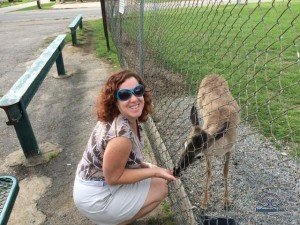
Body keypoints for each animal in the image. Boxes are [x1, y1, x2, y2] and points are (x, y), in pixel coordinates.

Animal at [172, 74, 240, 209]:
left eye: (199, 156)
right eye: (185, 144)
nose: (176, 170)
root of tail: (212, 74)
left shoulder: (229, 149)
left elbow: (225, 172)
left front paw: (226, 201)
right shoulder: (209, 153)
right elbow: (208, 173)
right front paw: (204, 202)